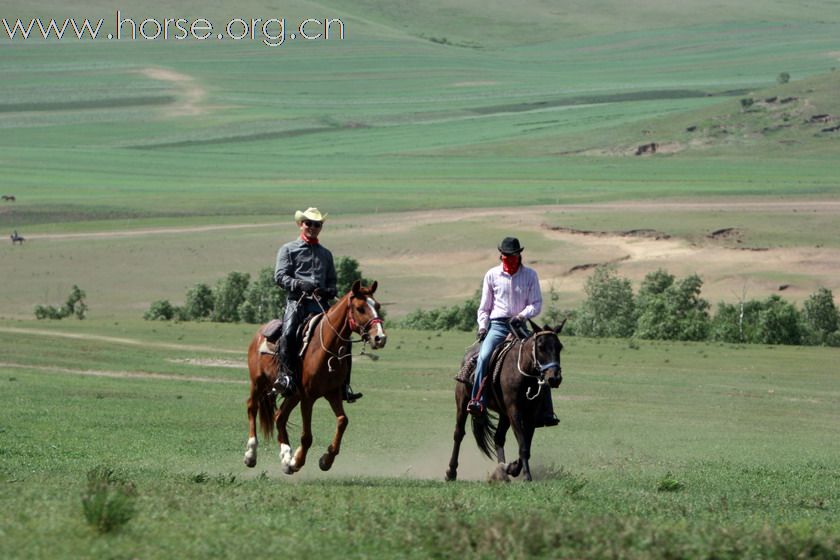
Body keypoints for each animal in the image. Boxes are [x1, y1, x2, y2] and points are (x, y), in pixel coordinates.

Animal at [243, 282, 388, 474]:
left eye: (377, 306)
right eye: (360, 308)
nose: (380, 338)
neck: (326, 347)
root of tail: (259, 333)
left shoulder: (333, 393)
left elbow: (343, 421)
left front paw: (326, 459)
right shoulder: (308, 397)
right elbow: (307, 436)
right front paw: (297, 461)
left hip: (293, 393)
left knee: (280, 416)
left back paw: (286, 457)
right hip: (258, 383)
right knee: (252, 407)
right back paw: (251, 454)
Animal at [446, 320, 564, 482]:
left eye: (559, 347)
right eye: (541, 347)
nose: (554, 378)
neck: (524, 374)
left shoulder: (531, 415)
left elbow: (526, 444)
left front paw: (513, 468)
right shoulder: (514, 411)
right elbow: (523, 445)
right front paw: (526, 476)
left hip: (503, 414)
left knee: (498, 439)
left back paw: (502, 470)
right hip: (463, 403)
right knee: (458, 434)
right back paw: (451, 472)